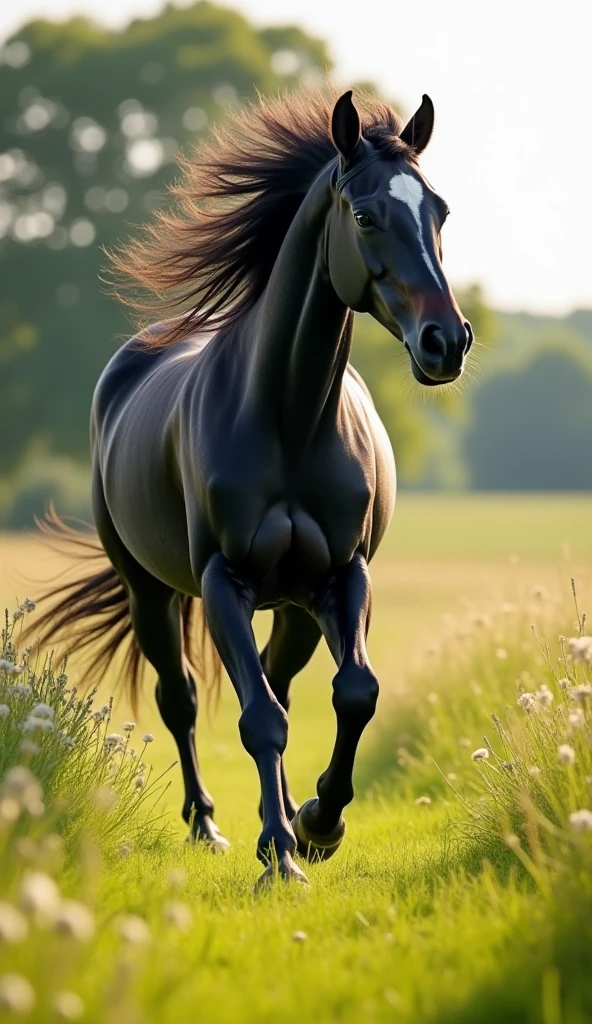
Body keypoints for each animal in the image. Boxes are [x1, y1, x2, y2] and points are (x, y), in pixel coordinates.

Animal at [32, 88, 472, 888]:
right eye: (365, 215)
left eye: (440, 212)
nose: (446, 343)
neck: (288, 418)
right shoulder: (223, 580)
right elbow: (257, 717)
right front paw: (279, 856)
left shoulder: (340, 577)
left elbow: (354, 694)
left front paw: (319, 824)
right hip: (149, 590)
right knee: (182, 699)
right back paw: (209, 827)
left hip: (294, 606)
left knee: (280, 679)